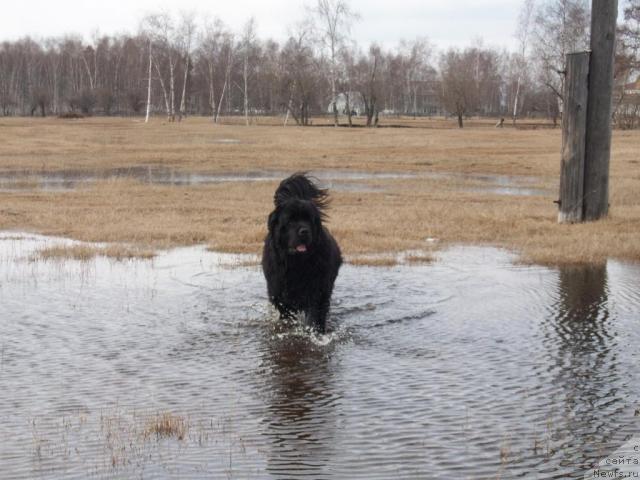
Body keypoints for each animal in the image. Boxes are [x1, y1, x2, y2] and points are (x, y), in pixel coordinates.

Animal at [262, 173, 342, 334]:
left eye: (309, 220)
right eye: (290, 221)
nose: (304, 231)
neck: (297, 264)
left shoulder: (317, 292)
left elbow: (315, 316)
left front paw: (315, 333)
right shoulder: (280, 295)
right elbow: (286, 316)